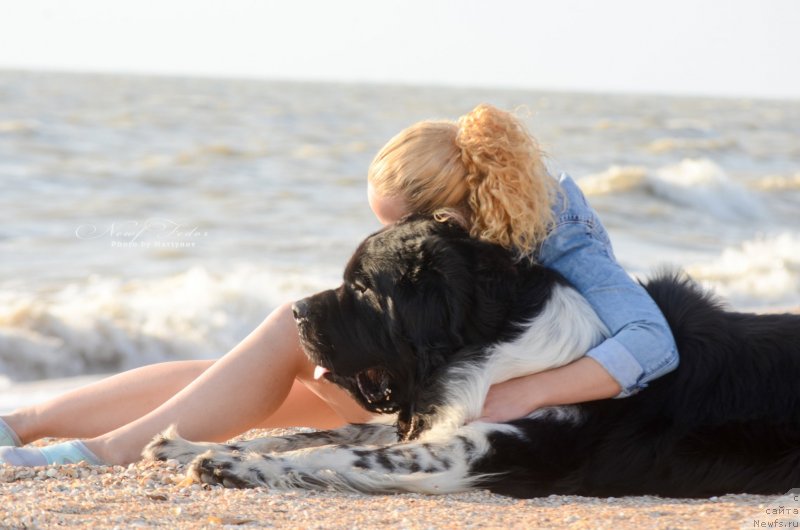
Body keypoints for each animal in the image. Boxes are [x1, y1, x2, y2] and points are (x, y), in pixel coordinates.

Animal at [144, 213, 800, 496]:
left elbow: (339, 453)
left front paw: (227, 466)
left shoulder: (480, 448)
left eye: (364, 288)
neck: (500, 342)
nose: (295, 312)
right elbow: (308, 434)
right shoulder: (435, 412)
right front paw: (192, 446)